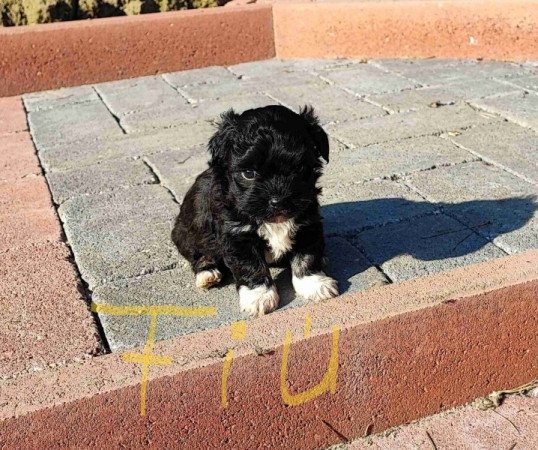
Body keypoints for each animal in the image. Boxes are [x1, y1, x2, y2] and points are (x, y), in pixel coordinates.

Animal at [170, 105, 338, 316]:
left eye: (299, 169)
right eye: (249, 174)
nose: (278, 200)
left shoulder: (307, 223)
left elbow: (306, 255)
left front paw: (314, 283)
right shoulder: (237, 235)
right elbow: (250, 265)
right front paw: (259, 296)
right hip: (187, 232)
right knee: (198, 254)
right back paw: (207, 273)